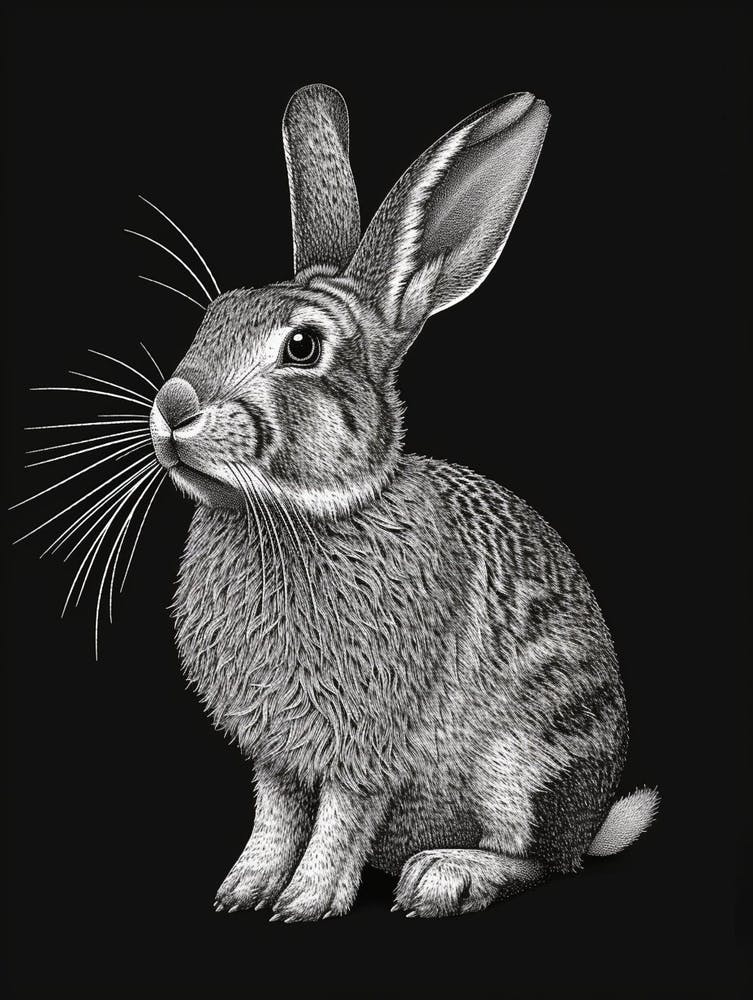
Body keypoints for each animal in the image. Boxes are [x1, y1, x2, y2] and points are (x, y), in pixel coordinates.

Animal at [148, 83, 658, 921]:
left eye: (302, 347)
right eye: (214, 316)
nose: (172, 406)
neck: (296, 512)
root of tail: (590, 825)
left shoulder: (367, 744)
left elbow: (339, 817)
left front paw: (307, 901)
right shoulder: (276, 756)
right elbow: (276, 815)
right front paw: (244, 889)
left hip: (525, 758)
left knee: (536, 861)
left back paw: (445, 877)